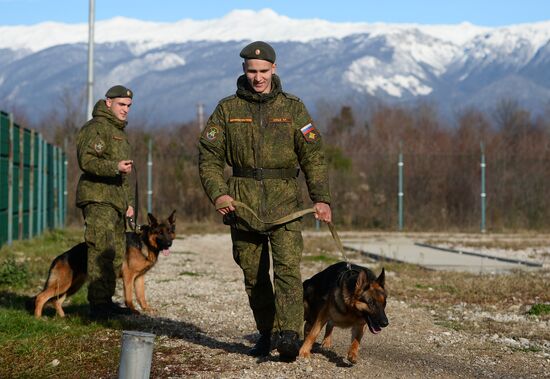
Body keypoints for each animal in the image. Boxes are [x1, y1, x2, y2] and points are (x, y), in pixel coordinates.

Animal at [34, 212, 177, 320]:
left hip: (71, 286)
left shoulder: (139, 278)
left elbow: (141, 296)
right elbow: (129, 297)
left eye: (169, 231)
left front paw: (146, 309)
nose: (169, 244)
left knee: (56, 301)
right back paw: (38, 318)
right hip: (63, 284)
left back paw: (63, 317)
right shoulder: (128, 277)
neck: (144, 242)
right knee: (41, 297)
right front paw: (132, 310)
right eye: (159, 232)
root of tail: (59, 257)